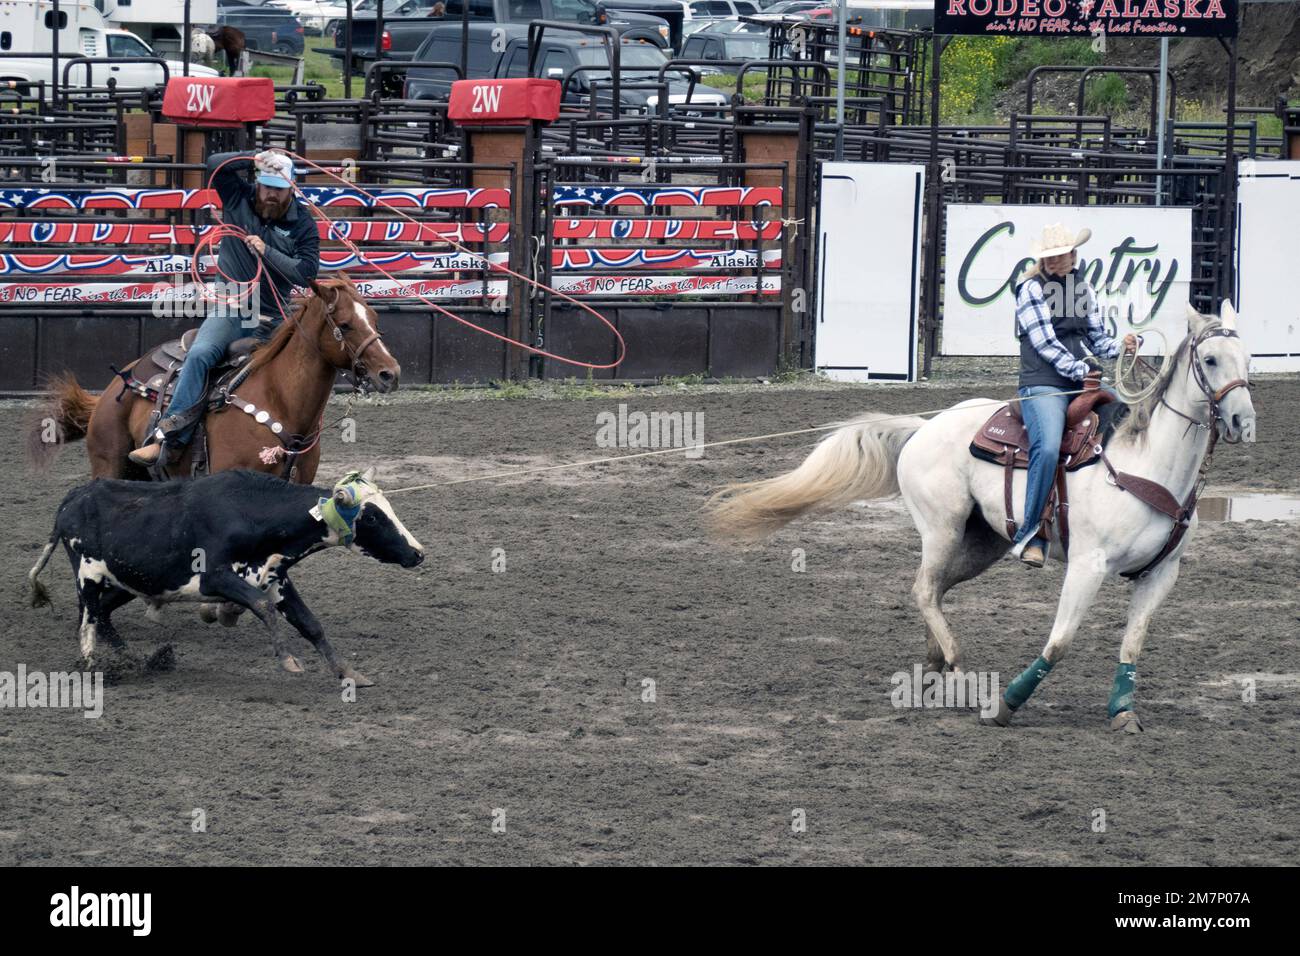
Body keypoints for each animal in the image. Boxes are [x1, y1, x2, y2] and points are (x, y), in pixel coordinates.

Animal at [35, 277, 400, 486]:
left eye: (374, 318)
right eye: (346, 324)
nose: (390, 373)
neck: (279, 400)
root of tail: (118, 382)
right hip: (108, 465)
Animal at [712, 306, 1258, 733]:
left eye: (1249, 359)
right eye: (1210, 359)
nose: (1242, 421)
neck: (1144, 464)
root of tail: (925, 426)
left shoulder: (1160, 574)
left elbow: (1133, 644)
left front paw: (1123, 712)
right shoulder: (1088, 565)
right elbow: (1060, 643)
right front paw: (1005, 705)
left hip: (984, 542)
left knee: (936, 591)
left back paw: (932, 668)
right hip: (942, 527)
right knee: (924, 589)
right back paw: (954, 664)